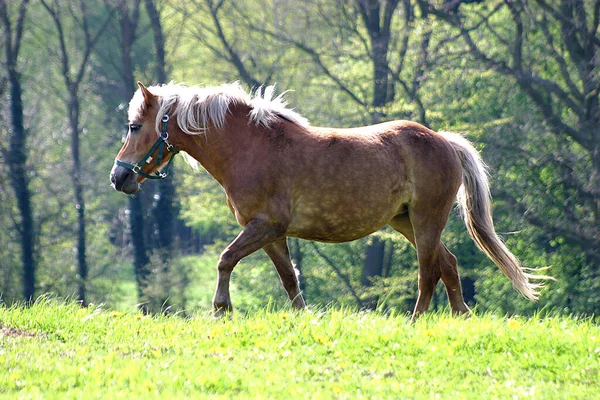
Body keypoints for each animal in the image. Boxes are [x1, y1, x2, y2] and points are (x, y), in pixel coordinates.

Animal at [111, 80, 548, 318]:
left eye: (134, 126)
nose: (119, 177)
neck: (251, 147)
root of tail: (444, 140)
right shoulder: (271, 234)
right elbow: (290, 280)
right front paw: (305, 318)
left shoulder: (264, 226)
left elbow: (225, 259)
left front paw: (222, 308)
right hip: (405, 221)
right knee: (449, 265)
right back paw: (461, 317)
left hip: (426, 220)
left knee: (428, 274)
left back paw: (416, 322)